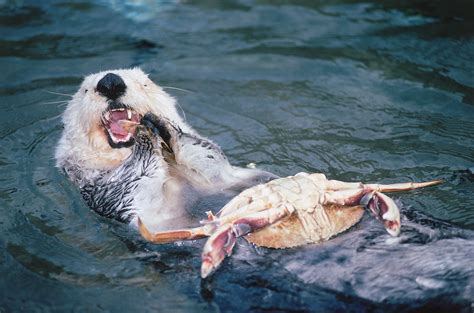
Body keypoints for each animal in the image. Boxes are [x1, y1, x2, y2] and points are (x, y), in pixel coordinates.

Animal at [55, 68, 276, 229]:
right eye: (85, 89)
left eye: (144, 83)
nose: (110, 82)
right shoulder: (110, 193)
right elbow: (138, 184)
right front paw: (144, 135)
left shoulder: (222, 177)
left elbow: (209, 155)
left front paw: (163, 124)